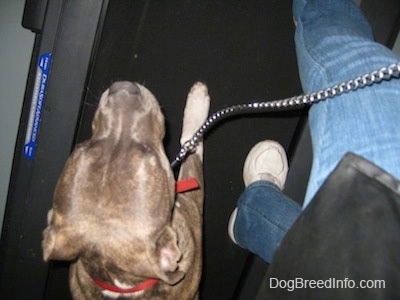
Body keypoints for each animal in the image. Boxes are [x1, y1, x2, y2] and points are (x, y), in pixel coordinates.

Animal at [42, 81, 211, 298]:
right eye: (148, 152)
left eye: (86, 145)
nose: (123, 87)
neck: (123, 284)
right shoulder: (193, 204)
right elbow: (192, 144)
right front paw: (198, 100)